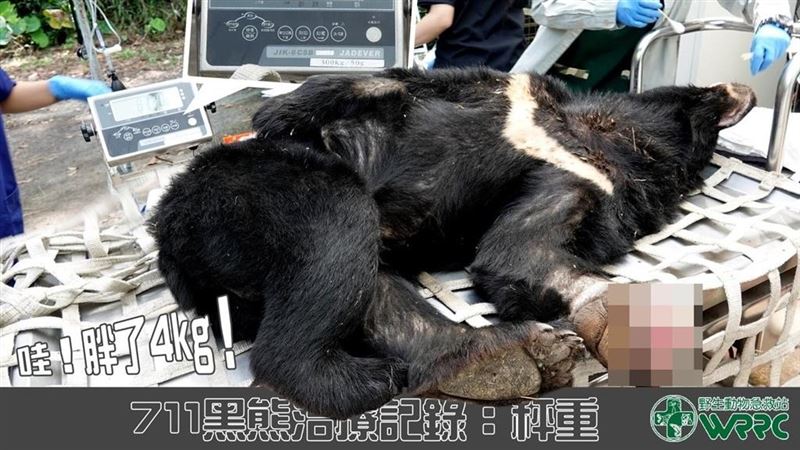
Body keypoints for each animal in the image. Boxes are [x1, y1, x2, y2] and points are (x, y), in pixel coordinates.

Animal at [251, 67, 757, 365]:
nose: (746, 92)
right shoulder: (512, 91)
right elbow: (395, 82)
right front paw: (274, 110)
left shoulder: (596, 187)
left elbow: (516, 252)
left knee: (378, 295)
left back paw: (516, 358)